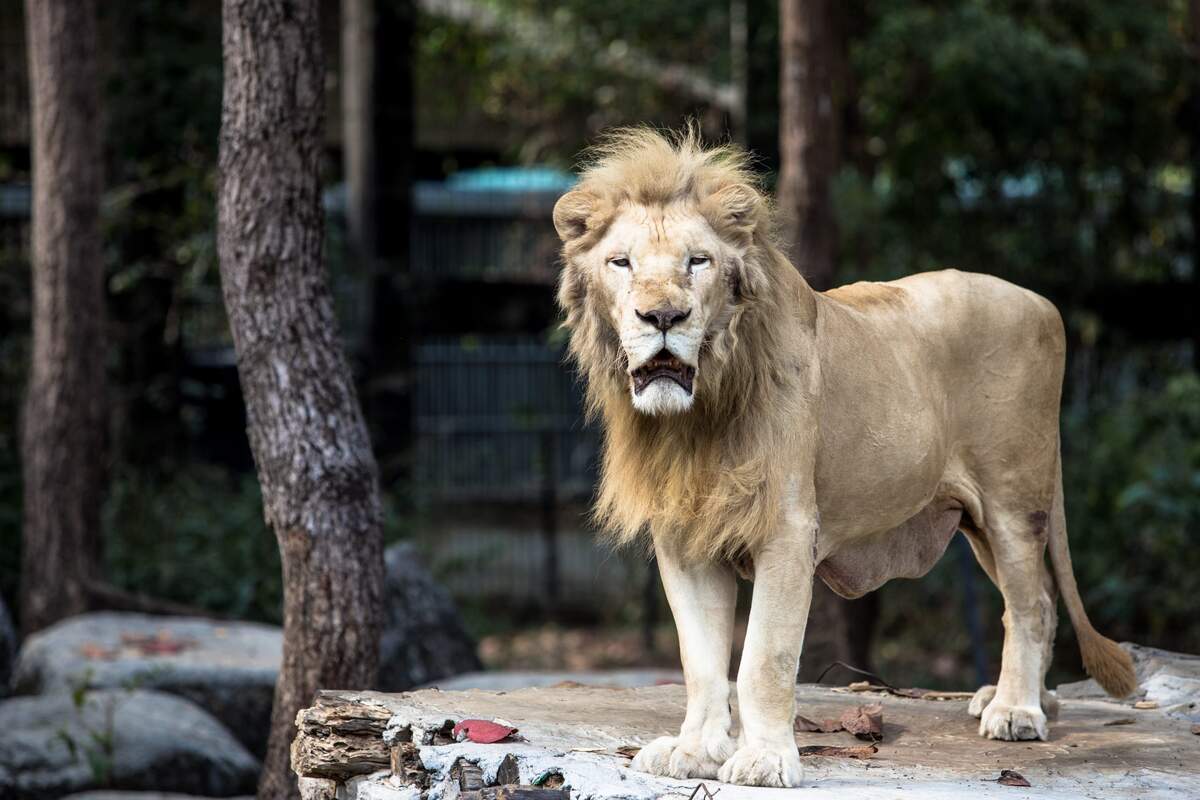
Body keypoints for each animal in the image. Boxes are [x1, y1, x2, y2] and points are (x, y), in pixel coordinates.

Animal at [552, 128, 1132, 791]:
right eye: (621, 263)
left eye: (698, 261)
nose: (664, 317)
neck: (697, 417)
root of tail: (1043, 303)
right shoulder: (686, 538)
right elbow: (700, 663)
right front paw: (695, 751)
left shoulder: (786, 529)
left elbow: (764, 659)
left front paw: (765, 759)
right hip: (977, 519)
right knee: (1036, 603)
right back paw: (1020, 699)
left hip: (1012, 501)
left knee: (1030, 603)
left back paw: (1016, 711)